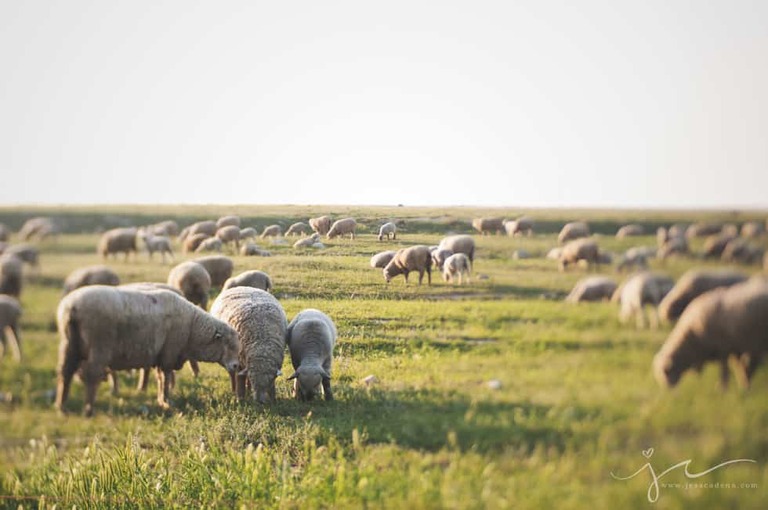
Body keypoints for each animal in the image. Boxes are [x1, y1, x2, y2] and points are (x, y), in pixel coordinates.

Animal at [55, 285, 240, 416]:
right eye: (229, 345)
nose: (237, 366)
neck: (192, 330)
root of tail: (72, 308)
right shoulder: (169, 354)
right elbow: (165, 378)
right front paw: (166, 402)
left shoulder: (161, 355)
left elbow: (160, 378)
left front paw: (161, 401)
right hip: (99, 346)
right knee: (92, 376)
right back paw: (88, 409)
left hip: (69, 345)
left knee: (65, 373)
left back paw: (61, 406)